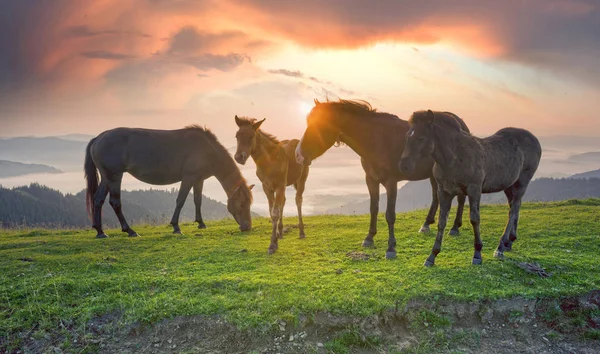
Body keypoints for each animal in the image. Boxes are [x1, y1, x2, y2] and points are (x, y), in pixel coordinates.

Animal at [84, 124, 253, 238]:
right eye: (242, 204)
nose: (247, 227)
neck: (207, 150)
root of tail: (98, 138)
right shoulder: (188, 178)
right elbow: (181, 200)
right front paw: (176, 227)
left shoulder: (198, 179)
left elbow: (197, 200)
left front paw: (201, 223)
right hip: (115, 176)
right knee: (115, 202)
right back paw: (130, 230)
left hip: (107, 177)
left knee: (98, 199)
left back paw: (100, 231)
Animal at [233, 115, 310, 253]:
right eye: (237, 135)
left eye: (251, 136)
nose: (239, 157)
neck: (270, 161)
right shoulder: (267, 187)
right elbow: (272, 211)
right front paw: (276, 239)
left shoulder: (279, 186)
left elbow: (275, 213)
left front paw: (272, 245)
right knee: (283, 202)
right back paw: (281, 232)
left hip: (301, 180)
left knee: (298, 200)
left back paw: (301, 232)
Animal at [292, 98, 472, 258]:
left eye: (319, 125)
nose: (298, 155)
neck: (376, 140)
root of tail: (460, 123)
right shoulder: (370, 179)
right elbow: (374, 208)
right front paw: (369, 237)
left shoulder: (391, 182)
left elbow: (390, 214)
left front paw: (391, 247)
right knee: (436, 197)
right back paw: (426, 224)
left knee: (460, 198)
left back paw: (455, 227)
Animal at [398, 110, 544, 266]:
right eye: (407, 136)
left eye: (421, 138)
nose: (404, 166)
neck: (454, 158)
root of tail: (534, 138)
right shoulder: (444, 192)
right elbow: (442, 221)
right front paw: (432, 256)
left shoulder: (474, 190)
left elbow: (475, 219)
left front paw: (477, 254)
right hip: (509, 185)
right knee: (515, 207)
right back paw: (509, 243)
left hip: (522, 181)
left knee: (513, 210)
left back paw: (500, 247)